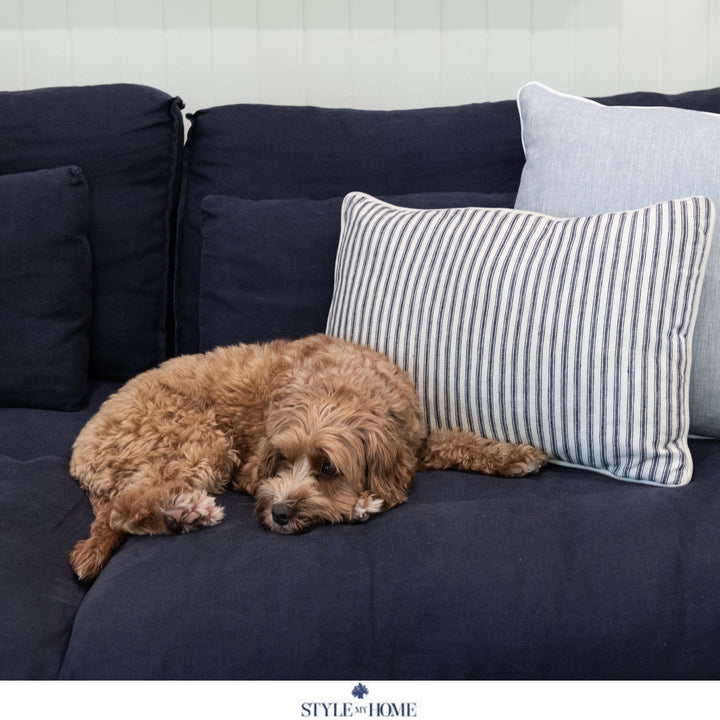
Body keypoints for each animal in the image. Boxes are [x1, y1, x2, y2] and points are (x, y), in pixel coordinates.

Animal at [69, 334, 546, 581]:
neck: (340, 386)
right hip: (202, 441)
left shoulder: (413, 442)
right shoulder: (250, 472)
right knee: (123, 509)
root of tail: (82, 448)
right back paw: (187, 511)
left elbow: (457, 441)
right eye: (282, 460)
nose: (279, 513)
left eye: (328, 467)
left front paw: (512, 455)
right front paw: (358, 505)